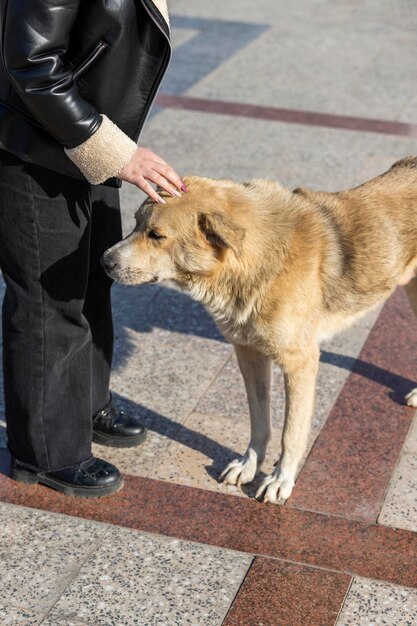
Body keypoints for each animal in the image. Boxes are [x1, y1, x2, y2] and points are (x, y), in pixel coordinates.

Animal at [101, 157, 417, 502]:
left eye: (157, 235)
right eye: (134, 224)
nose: (104, 261)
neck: (255, 262)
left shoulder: (300, 363)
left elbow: (291, 432)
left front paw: (281, 479)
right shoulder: (249, 354)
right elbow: (259, 421)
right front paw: (249, 465)